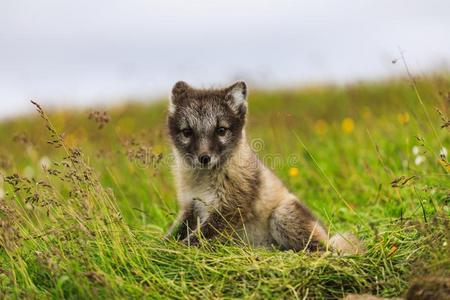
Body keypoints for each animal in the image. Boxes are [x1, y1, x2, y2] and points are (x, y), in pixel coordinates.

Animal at [167, 80, 364, 253]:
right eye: (187, 132)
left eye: (221, 130)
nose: (204, 158)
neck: (202, 180)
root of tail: (328, 236)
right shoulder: (190, 206)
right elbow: (174, 232)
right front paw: (163, 245)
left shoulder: (229, 209)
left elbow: (198, 237)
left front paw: (174, 251)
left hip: (282, 214)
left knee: (323, 250)